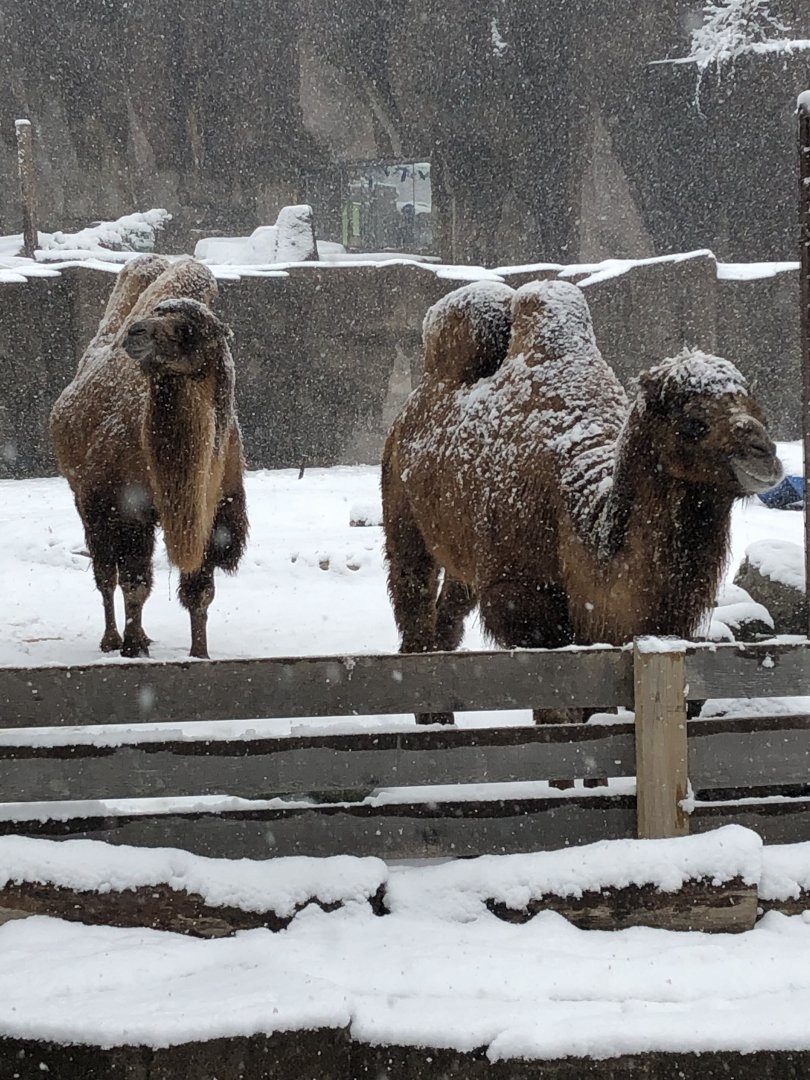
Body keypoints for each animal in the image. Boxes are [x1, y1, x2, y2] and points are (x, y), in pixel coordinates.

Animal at [50, 255, 248, 659]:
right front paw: (133, 646)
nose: (135, 333)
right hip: (87, 503)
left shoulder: (215, 515)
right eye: (158, 314)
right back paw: (112, 640)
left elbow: (200, 591)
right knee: (106, 575)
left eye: (186, 329)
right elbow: (134, 583)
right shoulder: (124, 509)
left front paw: (199, 653)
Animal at [382, 279, 783, 723]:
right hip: (402, 513)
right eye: (693, 422)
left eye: (758, 410)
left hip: (463, 553)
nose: (765, 454)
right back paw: (432, 719)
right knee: (412, 596)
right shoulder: (518, 598)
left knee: (449, 612)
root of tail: (408, 411)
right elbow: (557, 706)